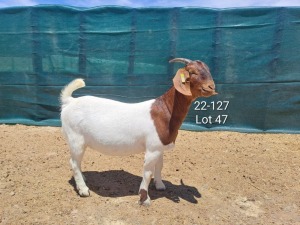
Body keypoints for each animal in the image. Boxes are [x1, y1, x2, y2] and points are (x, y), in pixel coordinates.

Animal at [59, 58, 217, 206]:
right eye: (192, 72)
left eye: (208, 70)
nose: (211, 87)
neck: (165, 111)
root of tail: (69, 101)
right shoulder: (152, 149)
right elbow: (147, 172)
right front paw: (144, 199)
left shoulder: (159, 147)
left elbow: (159, 166)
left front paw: (160, 185)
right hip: (75, 138)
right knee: (73, 162)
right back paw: (83, 190)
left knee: (77, 162)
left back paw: (83, 179)